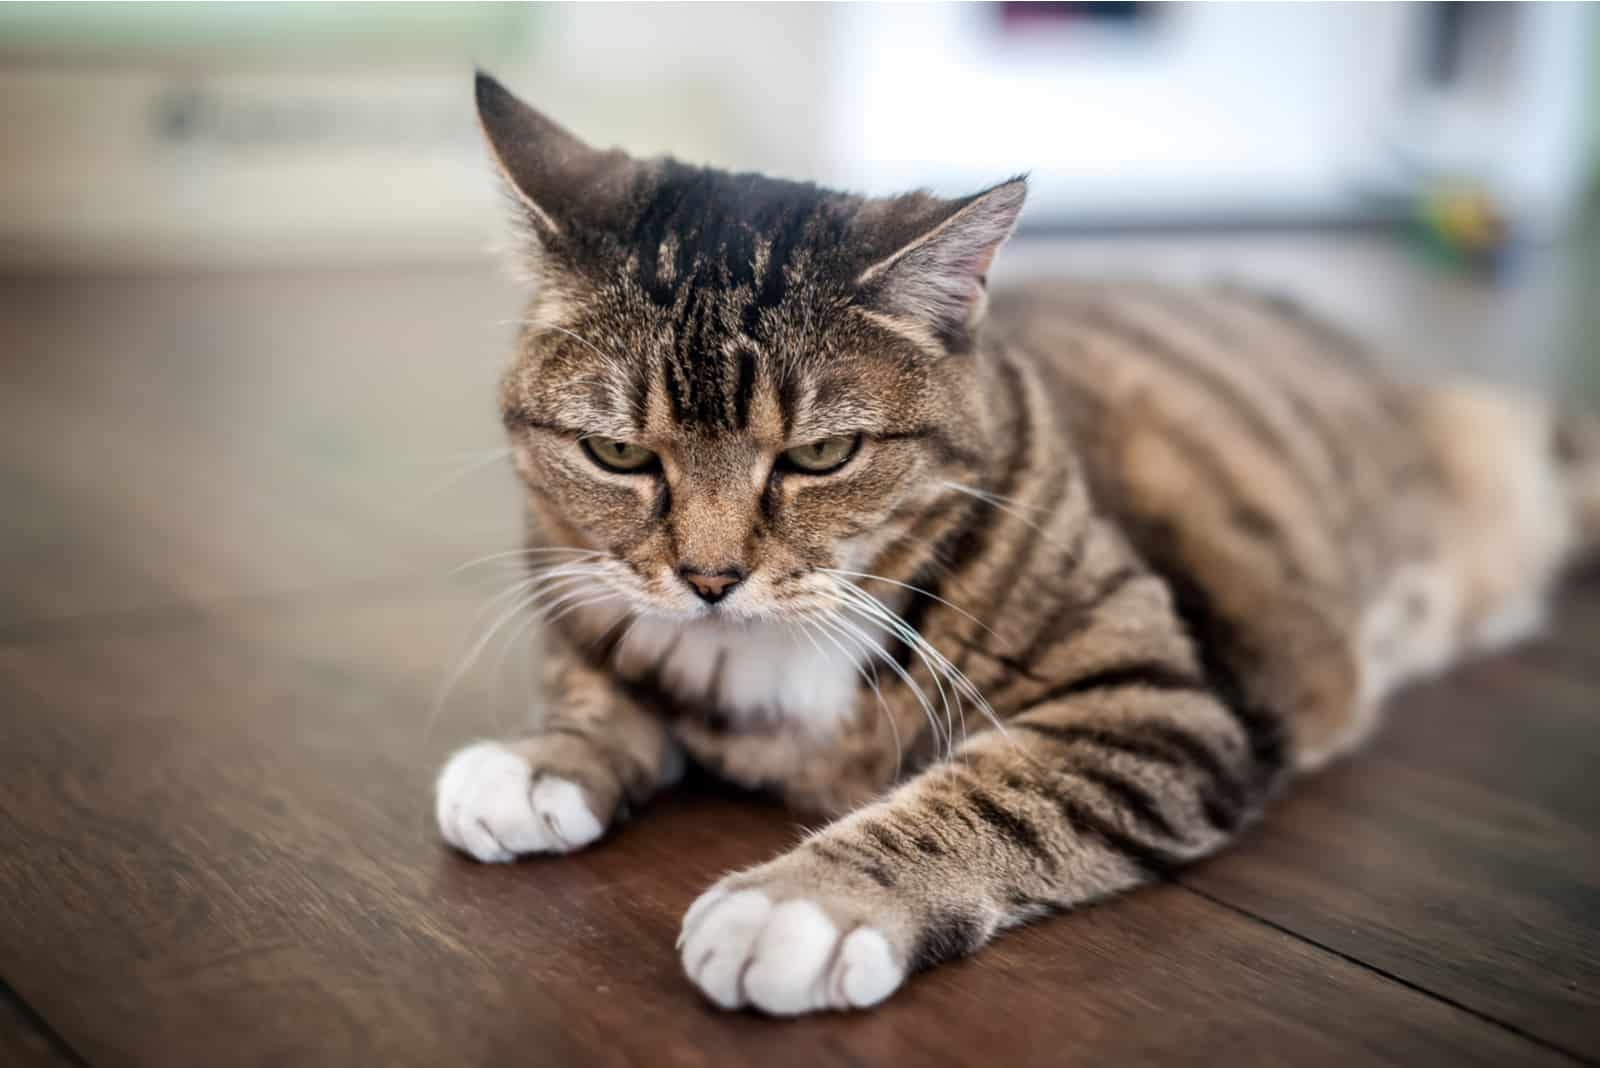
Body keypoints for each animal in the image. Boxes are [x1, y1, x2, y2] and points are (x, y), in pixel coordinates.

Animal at [432, 70, 1600, 1016]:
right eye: (616, 454)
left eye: (823, 456)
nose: (709, 579)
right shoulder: (581, 584)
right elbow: (600, 674)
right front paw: (546, 758)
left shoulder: (1155, 699)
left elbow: (989, 798)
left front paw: (802, 902)